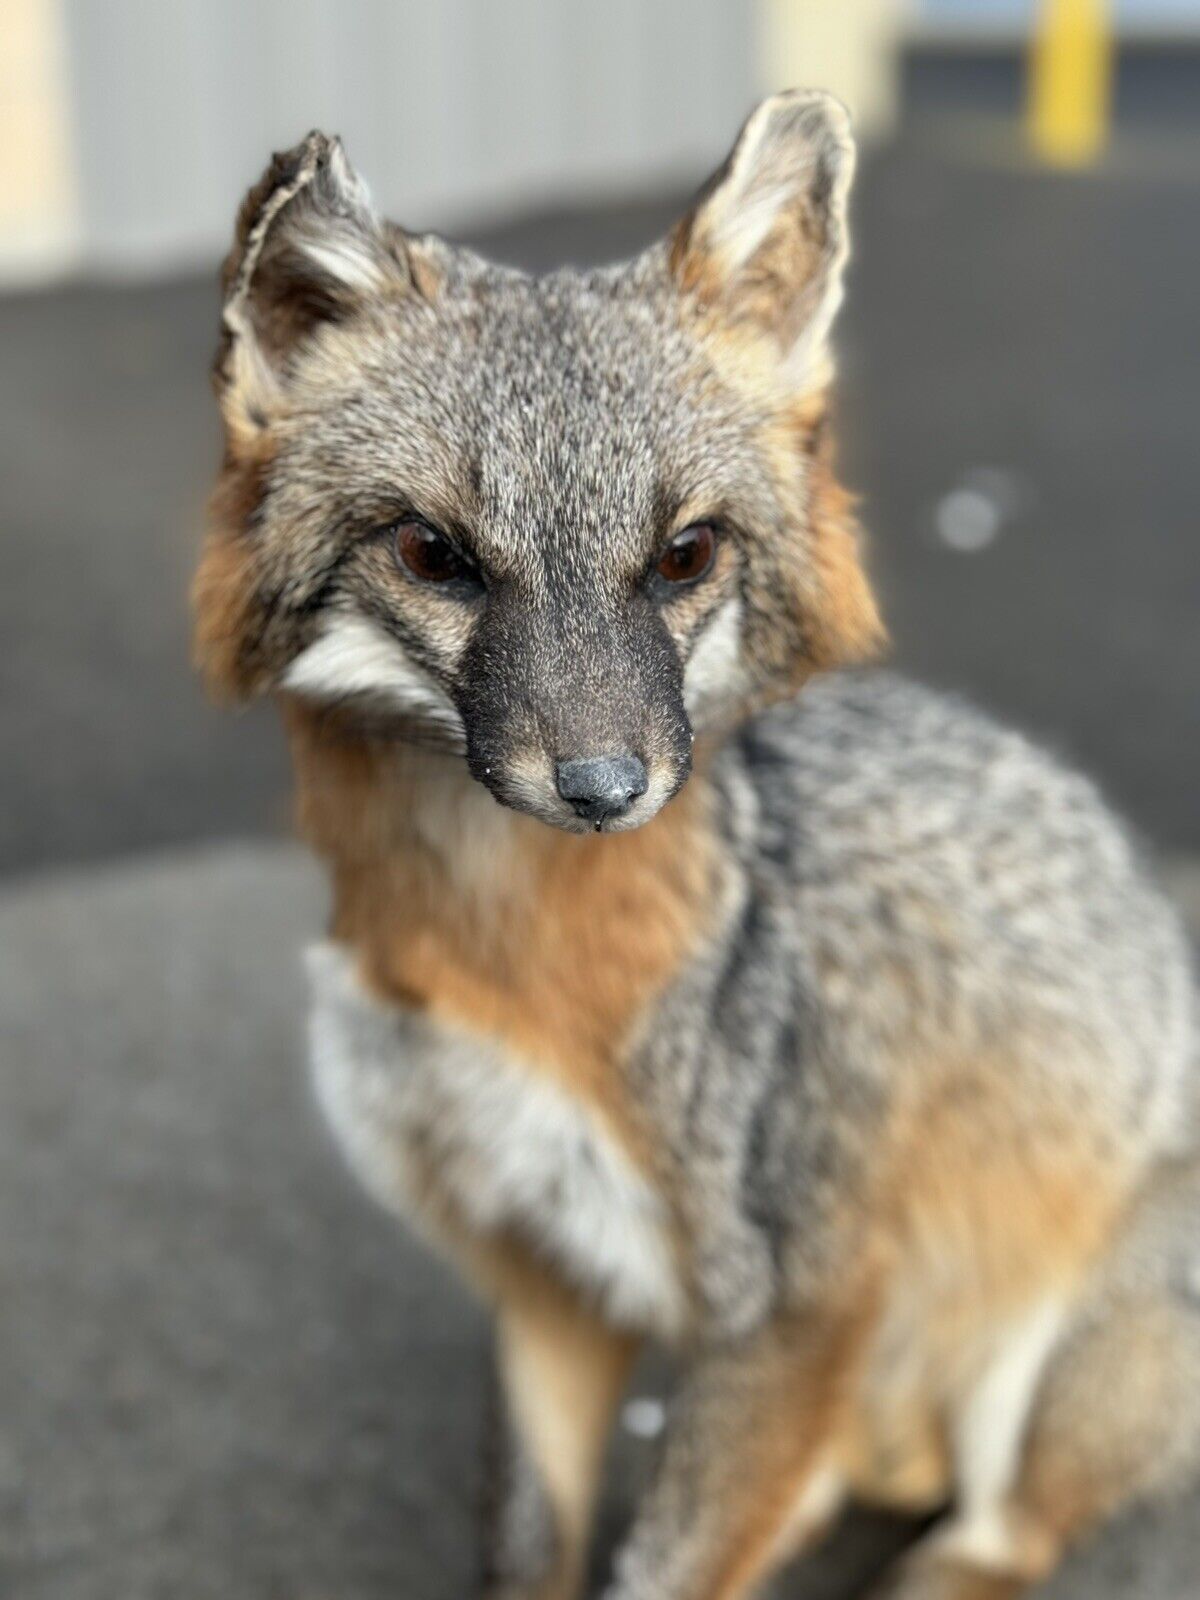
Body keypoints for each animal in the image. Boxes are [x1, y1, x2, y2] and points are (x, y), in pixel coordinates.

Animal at [192, 96, 1200, 1600]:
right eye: (434, 554)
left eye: (684, 555)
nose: (606, 786)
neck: (492, 964)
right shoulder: (541, 1276)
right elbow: (534, 1543)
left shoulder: (793, 1310)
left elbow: (664, 1570)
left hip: (1028, 1369)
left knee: (996, 1536)